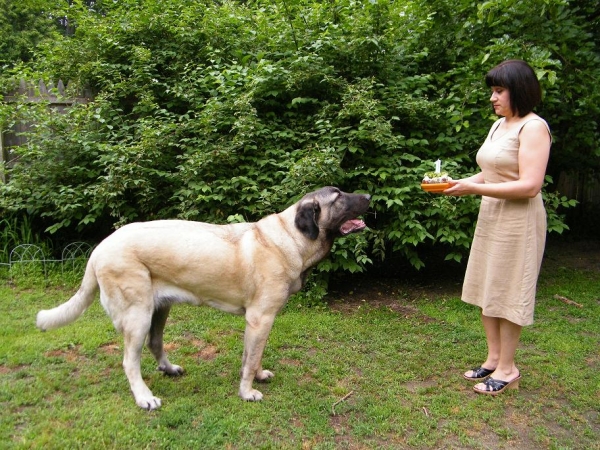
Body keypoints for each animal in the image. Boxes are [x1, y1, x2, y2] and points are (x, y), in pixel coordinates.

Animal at [36, 185, 370, 410]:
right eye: (338, 197)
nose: (368, 197)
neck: (291, 237)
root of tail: (98, 249)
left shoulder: (259, 323)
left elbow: (252, 356)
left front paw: (257, 375)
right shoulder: (260, 318)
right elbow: (251, 357)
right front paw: (247, 392)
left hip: (159, 309)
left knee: (155, 344)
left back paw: (169, 369)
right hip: (137, 314)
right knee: (130, 361)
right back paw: (145, 398)